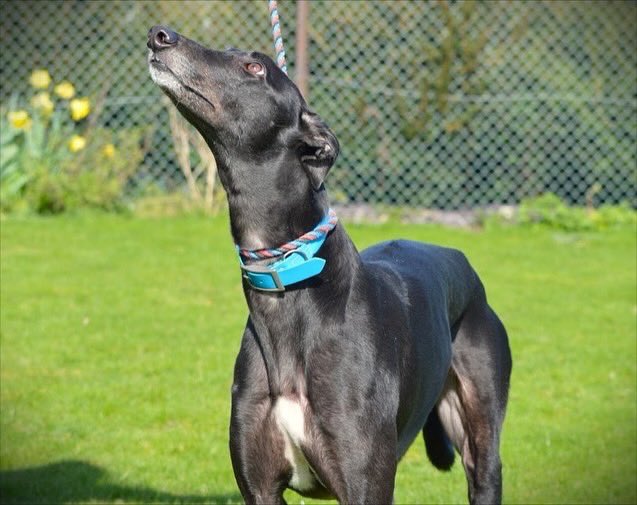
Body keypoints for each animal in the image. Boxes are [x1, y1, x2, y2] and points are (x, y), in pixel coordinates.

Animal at [148, 24, 512, 504]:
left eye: (254, 66)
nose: (160, 36)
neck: (289, 285)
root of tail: (461, 261)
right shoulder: (259, 487)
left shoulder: (365, 483)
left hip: (480, 437)